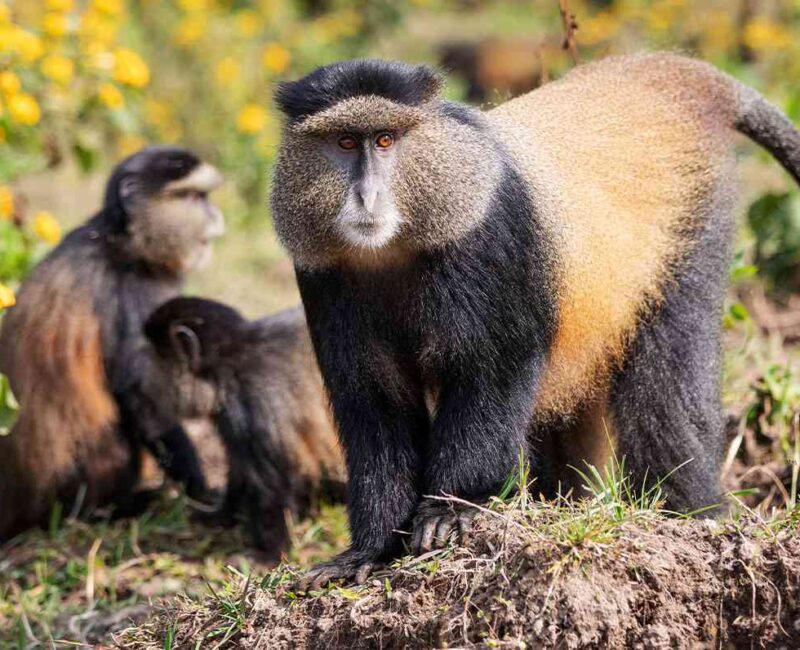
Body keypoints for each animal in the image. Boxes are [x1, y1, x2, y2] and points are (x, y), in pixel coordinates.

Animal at [0, 146, 225, 541]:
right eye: (196, 197)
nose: (215, 218)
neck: (120, 243)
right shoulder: (133, 295)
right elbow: (143, 400)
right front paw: (202, 492)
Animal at [142, 297, 345, 559]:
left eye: (156, 360)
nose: (145, 377)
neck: (227, 366)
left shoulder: (252, 397)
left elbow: (271, 482)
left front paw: (268, 555)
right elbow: (240, 468)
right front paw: (220, 515)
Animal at [269, 54, 800, 585]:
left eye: (384, 140)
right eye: (344, 142)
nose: (366, 197)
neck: (396, 245)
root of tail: (671, 75)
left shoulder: (488, 236)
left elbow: (493, 370)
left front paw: (454, 509)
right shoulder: (324, 276)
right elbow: (374, 401)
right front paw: (368, 552)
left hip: (692, 235)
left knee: (667, 395)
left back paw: (692, 516)